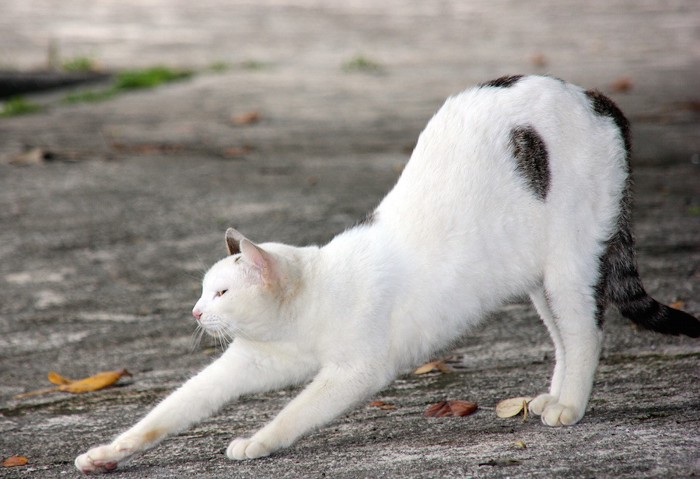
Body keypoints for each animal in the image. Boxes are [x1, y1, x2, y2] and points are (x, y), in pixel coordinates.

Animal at [74, 75, 696, 476]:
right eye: (204, 290)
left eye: (221, 291)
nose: (197, 311)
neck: (301, 317)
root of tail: (591, 96)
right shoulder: (245, 364)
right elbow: (169, 412)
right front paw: (106, 455)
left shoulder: (356, 371)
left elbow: (296, 412)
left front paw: (257, 442)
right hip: (537, 275)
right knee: (565, 337)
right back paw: (555, 398)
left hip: (570, 259)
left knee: (586, 331)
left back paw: (570, 407)